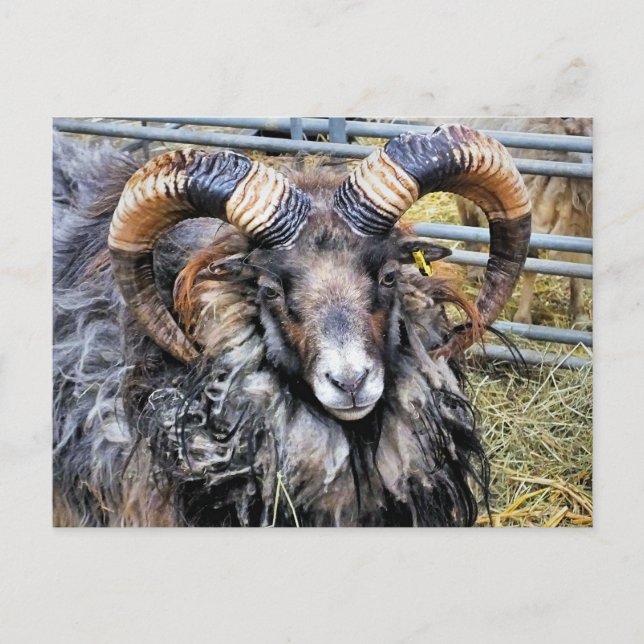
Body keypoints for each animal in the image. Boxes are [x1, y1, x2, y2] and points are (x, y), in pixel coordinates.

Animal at [452, 118, 592, 326]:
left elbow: (577, 265)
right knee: (469, 221)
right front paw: (523, 317)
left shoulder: (581, 220)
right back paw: (475, 269)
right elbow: (530, 266)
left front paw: (579, 313)